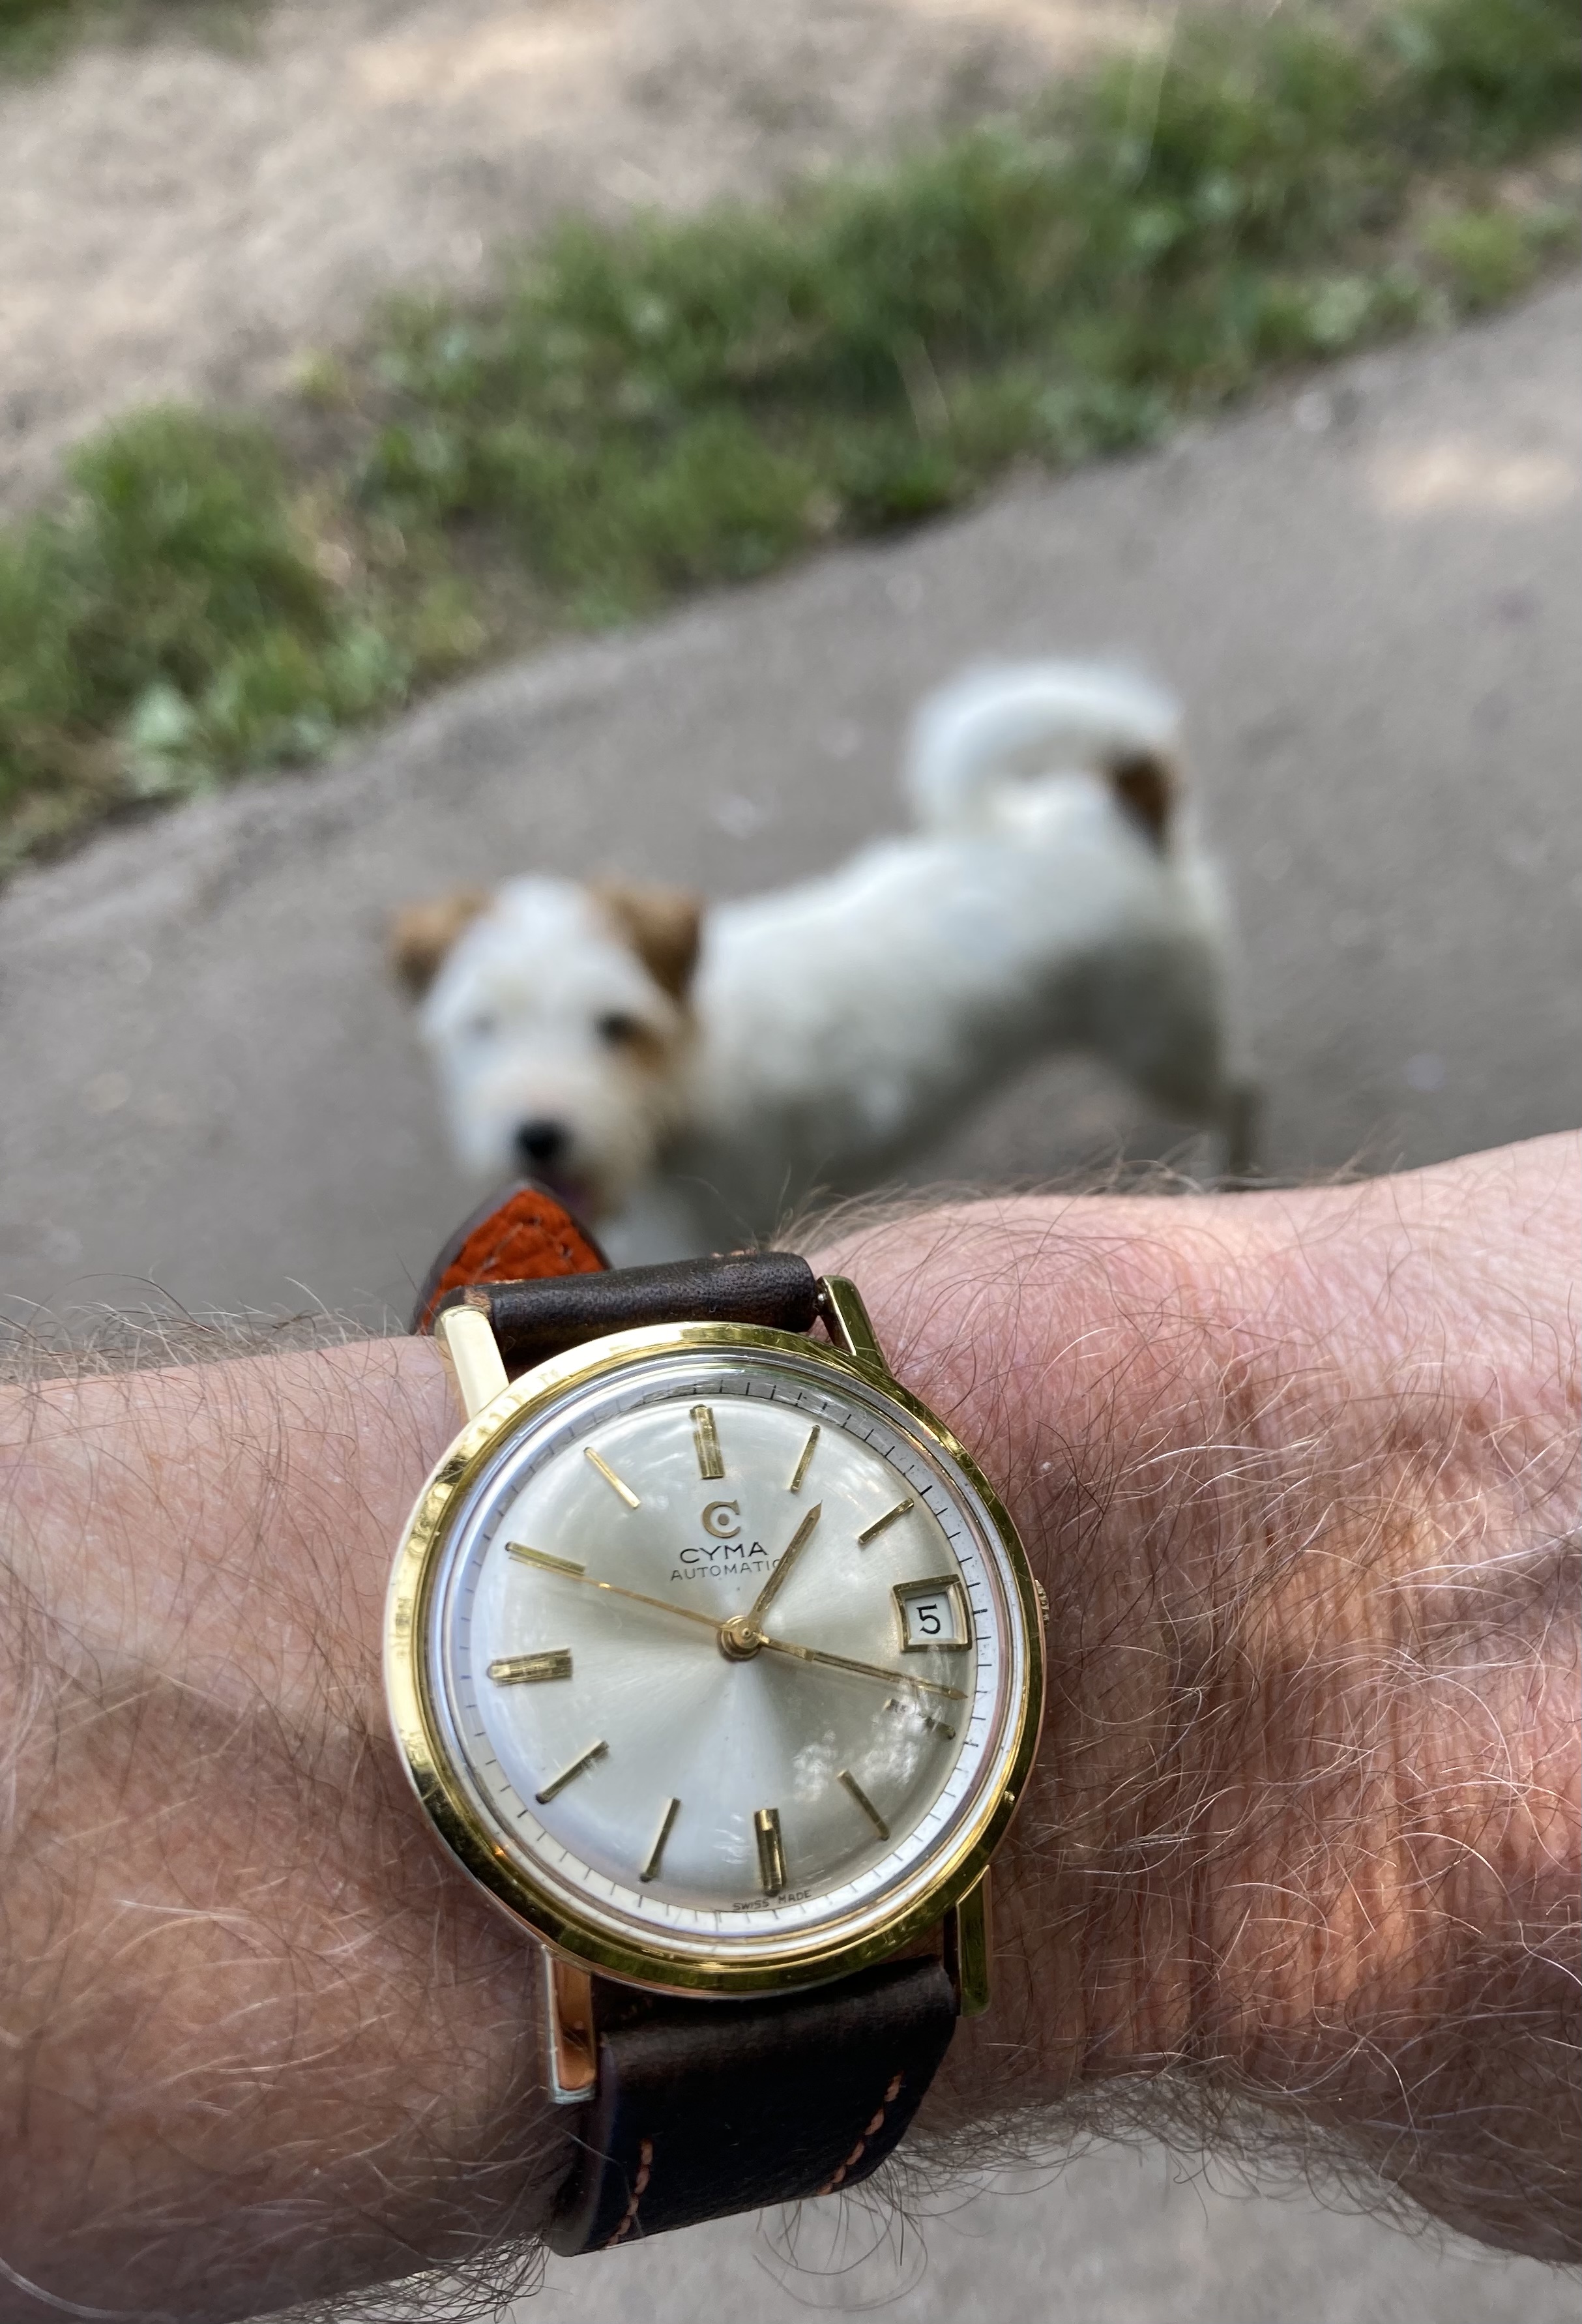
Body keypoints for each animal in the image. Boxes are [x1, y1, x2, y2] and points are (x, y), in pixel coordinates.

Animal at [391, 661, 1258, 1260]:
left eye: (614, 1025)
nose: (538, 1135)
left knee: (1241, 1091)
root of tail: (1127, 810)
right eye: (480, 1023)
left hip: (1162, 1040)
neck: (684, 1077)